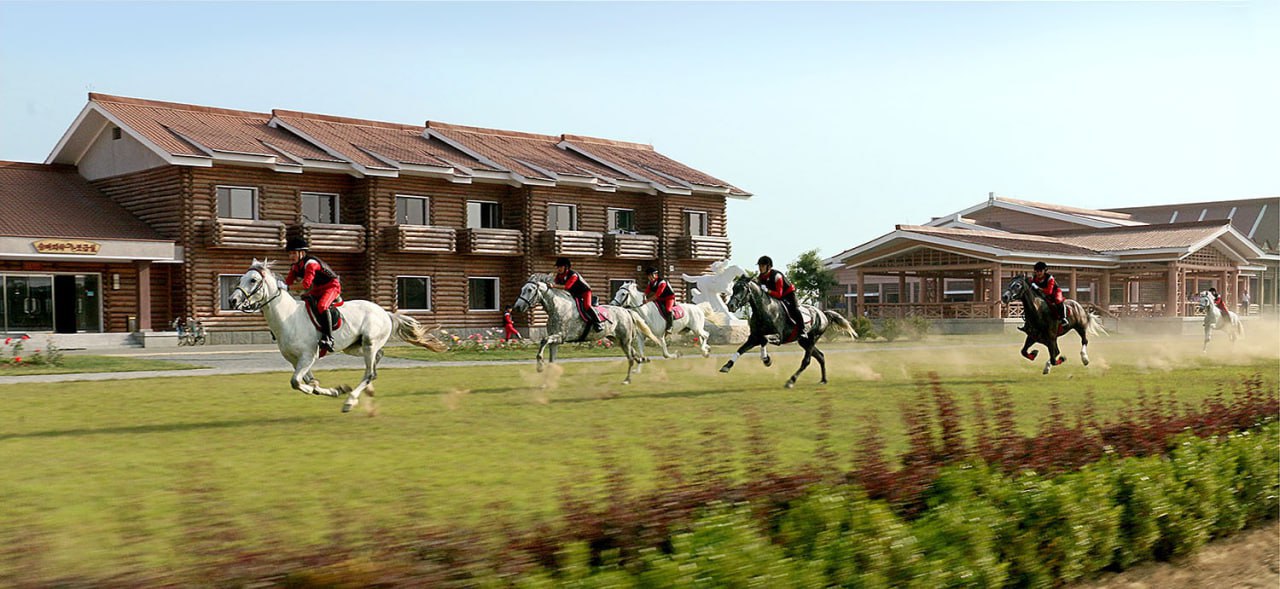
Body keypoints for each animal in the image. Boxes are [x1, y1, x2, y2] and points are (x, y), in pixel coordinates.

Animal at [228, 260, 445, 412]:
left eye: (253, 280)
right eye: (240, 279)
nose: (232, 301)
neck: (287, 318)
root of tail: (386, 313)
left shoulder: (307, 357)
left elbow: (296, 382)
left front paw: (326, 390)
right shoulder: (296, 360)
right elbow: (309, 382)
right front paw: (334, 390)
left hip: (369, 343)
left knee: (370, 372)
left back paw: (350, 401)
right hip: (354, 347)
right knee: (377, 360)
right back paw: (367, 390)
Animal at [511, 274, 662, 385]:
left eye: (530, 290)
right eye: (522, 289)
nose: (517, 307)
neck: (557, 307)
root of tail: (626, 311)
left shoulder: (560, 336)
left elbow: (543, 340)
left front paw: (539, 366)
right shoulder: (555, 341)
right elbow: (551, 360)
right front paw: (545, 383)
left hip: (624, 340)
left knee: (630, 358)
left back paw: (627, 380)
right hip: (617, 339)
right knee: (634, 354)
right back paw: (643, 360)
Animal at [720, 275, 858, 388]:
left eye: (742, 289)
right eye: (734, 289)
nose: (730, 306)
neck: (764, 309)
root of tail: (822, 313)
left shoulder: (777, 336)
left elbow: (764, 339)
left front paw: (766, 359)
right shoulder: (753, 337)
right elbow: (741, 349)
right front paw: (727, 366)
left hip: (812, 338)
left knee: (806, 361)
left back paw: (791, 381)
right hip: (804, 341)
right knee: (820, 356)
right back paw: (823, 380)